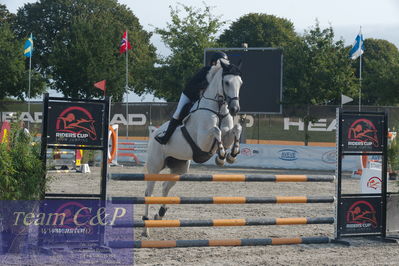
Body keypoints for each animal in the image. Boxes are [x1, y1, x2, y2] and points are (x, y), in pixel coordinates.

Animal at [144, 59, 244, 237]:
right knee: (149, 192)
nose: (235, 109)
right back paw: (146, 229)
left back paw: (160, 214)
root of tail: (154, 133)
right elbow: (216, 130)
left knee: (165, 187)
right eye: (226, 82)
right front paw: (221, 156)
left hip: (180, 168)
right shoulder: (203, 140)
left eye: (240, 83)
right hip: (154, 167)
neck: (218, 109)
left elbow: (236, 128)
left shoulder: (227, 136)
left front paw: (232, 155)